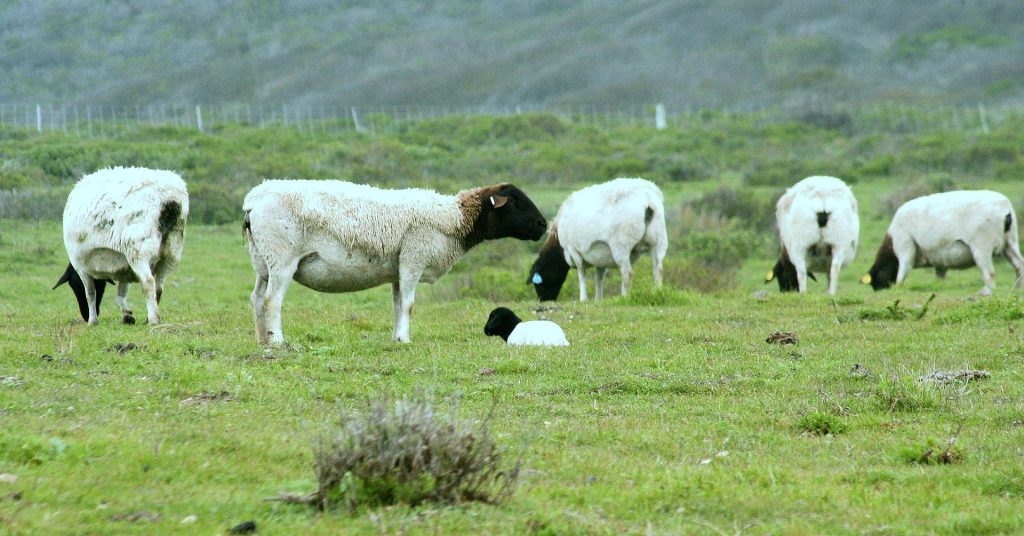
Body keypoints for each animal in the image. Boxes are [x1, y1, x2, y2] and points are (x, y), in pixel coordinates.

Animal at [53, 167, 189, 325]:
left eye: (74, 285)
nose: (85, 316)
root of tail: (169, 200)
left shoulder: (81, 266)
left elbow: (91, 293)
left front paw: (93, 321)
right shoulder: (125, 267)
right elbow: (121, 294)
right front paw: (127, 315)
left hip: (138, 250)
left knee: (148, 282)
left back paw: (153, 319)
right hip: (171, 252)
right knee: (159, 287)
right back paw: (150, 318)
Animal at [243, 180, 546, 344]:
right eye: (514, 201)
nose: (543, 225)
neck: (456, 219)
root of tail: (252, 200)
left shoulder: (399, 269)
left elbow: (399, 304)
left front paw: (397, 338)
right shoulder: (414, 258)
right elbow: (409, 304)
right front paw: (405, 339)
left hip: (262, 261)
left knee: (256, 298)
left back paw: (262, 340)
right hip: (282, 258)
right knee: (272, 300)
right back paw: (278, 341)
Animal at [528, 178, 668, 302]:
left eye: (540, 282)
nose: (544, 300)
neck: (559, 247)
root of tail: (647, 199)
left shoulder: (573, 249)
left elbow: (581, 272)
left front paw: (583, 299)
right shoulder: (600, 255)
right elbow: (599, 277)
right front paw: (598, 299)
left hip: (621, 246)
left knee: (627, 273)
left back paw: (624, 297)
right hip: (658, 241)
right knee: (658, 270)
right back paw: (658, 293)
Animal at [861, 190, 1024, 295]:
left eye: (877, 275)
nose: (878, 291)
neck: (892, 241)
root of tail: (1005, 209)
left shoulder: (904, 248)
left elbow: (902, 272)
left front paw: (898, 289)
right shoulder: (939, 260)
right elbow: (939, 277)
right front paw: (936, 287)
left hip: (981, 247)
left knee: (990, 273)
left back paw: (986, 291)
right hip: (1010, 243)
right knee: (1019, 265)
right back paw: (1017, 290)